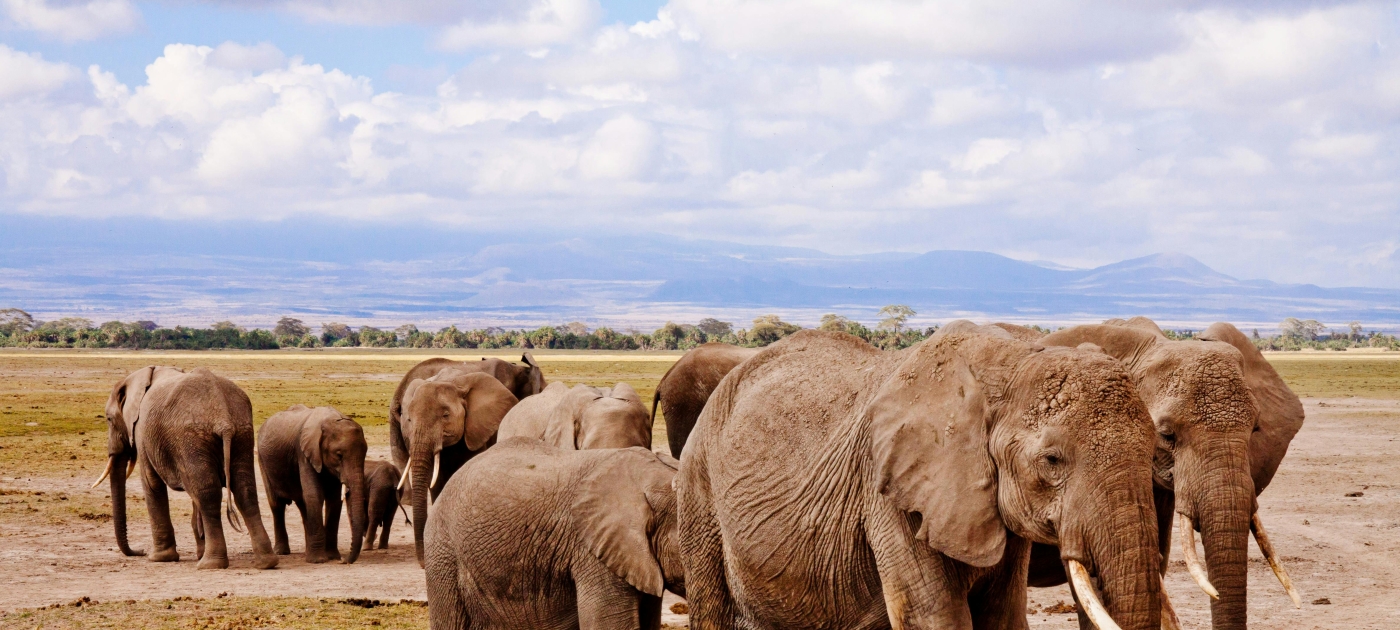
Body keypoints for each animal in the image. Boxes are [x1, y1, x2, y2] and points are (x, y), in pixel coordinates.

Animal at [94, 366, 277, 570]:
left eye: (109, 419)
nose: (139, 552)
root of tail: (223, 418)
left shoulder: (143, 431)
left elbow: (151, 483)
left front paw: (159, 558)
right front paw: (197, 552)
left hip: (191, 437)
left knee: (208, 495)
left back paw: (210, 564)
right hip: (242, 433)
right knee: (244, 491)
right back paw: (266, 562)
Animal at [257, 405, 369, 564]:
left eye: (365, 454)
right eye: (339, 455)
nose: (344, 560)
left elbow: (334, 500)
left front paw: (332, 557)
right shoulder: (304, 453)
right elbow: (314, 495)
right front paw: (318, 560)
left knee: (303, 505)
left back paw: (306, 550)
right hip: (262, 461)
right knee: (276, 505)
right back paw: (282, 552)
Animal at [677, 329, 1164, 630]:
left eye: (1154, 450)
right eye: (1052, 460)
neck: (1009, 360)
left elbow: (1001, 617)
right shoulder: (889, 494)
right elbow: (934, 619)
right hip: (699, 496)